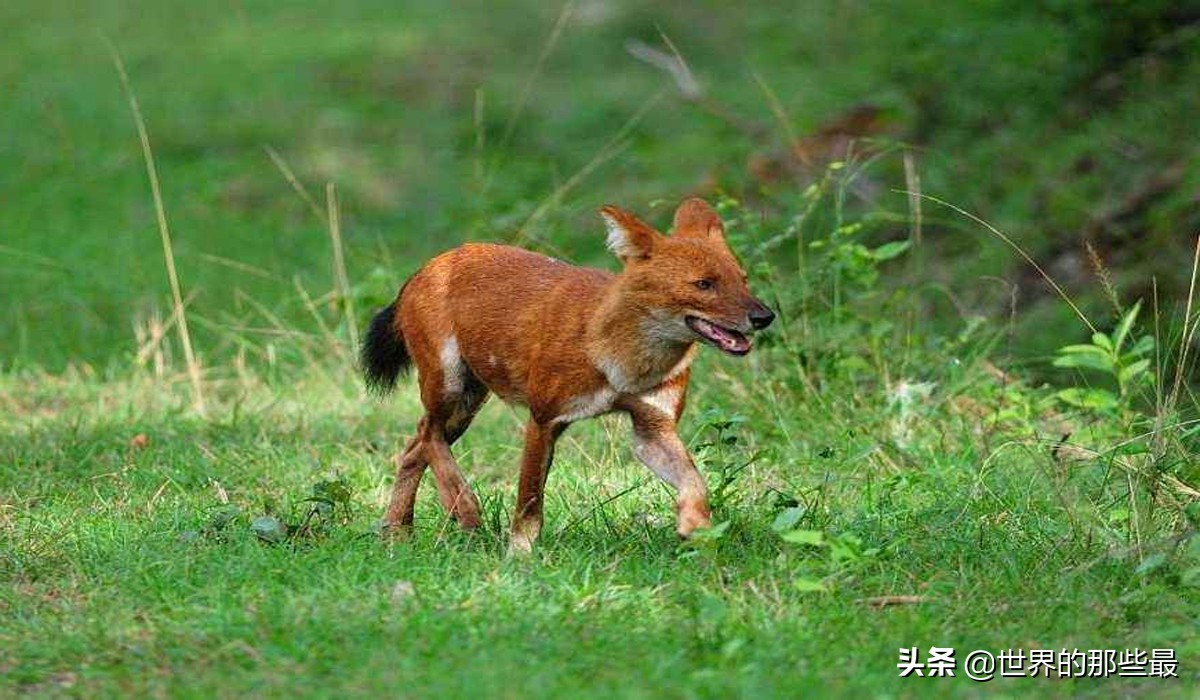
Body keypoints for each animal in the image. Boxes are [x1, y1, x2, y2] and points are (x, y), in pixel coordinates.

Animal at [362, 196, 777, 552]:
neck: (625, 362)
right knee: (429, 435)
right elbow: (529, 501)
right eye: (704, 284)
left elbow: (695, 482)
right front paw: (520, 558)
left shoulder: (652, 430)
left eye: (742, 279)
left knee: (414, 445)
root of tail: (429, 265)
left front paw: (697, 527)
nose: (764, 316)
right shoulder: (544, 418)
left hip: (468, 400)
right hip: (449, 384)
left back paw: (396, 531)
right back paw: (462, 507)